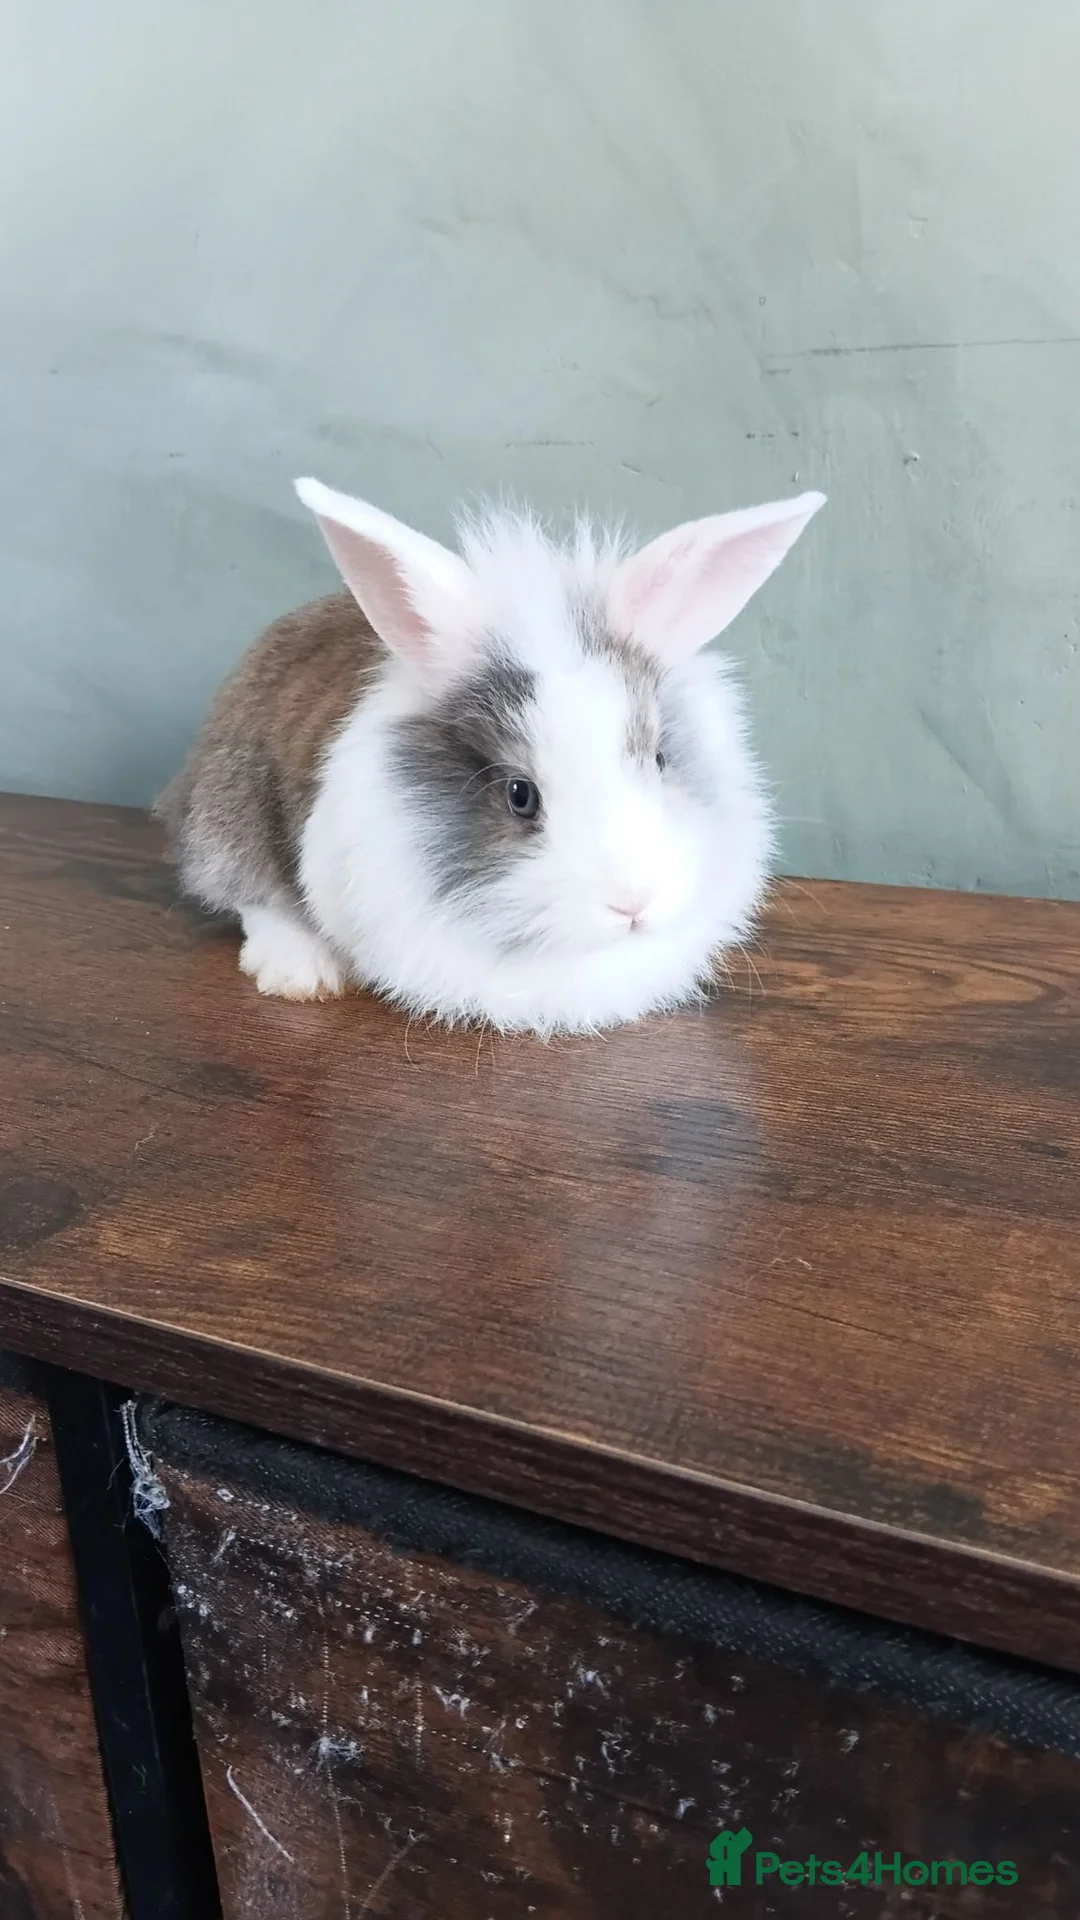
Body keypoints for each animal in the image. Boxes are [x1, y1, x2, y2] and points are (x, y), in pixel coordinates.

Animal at [157, 477, 824, 1034]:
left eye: (659, 760)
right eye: (520, 795)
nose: (633, 904)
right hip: (229, 814)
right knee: (247, 893)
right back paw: (299, 971)